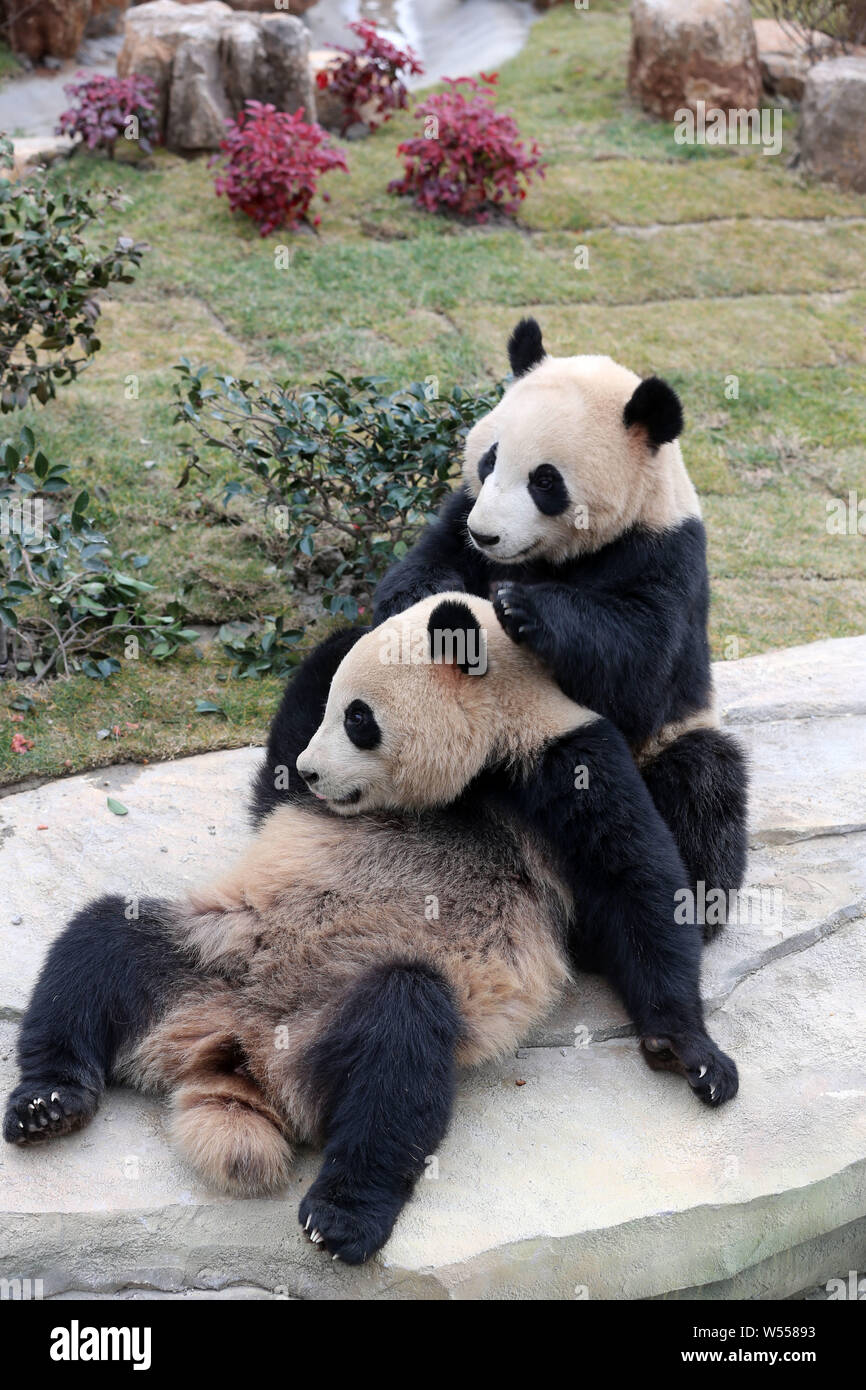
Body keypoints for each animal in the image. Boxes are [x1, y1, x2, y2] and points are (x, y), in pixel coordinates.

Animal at [1, 592, 739, 1267]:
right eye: (334, 708)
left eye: (359, 718)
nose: (312, 769)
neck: (485, 764)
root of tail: (235, 1054)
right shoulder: (310, 801)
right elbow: (272, 788)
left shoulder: (568, 760)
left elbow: (634, 888)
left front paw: (688, 1049)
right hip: (210, 954)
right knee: (102, 944)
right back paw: (48, 1102)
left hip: (326, 1021)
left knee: (398, 1051)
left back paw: (341, 1217)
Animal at [375, 322, 750, 934]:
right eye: (489, 460)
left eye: (545, 481)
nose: (488, 534)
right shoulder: (459, 514)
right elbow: (425, 564)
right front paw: (425, 606)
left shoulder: (665, 553)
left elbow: (641, 672)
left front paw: (522, 607)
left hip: (675, 738)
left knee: (701, 786)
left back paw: (698, 902)